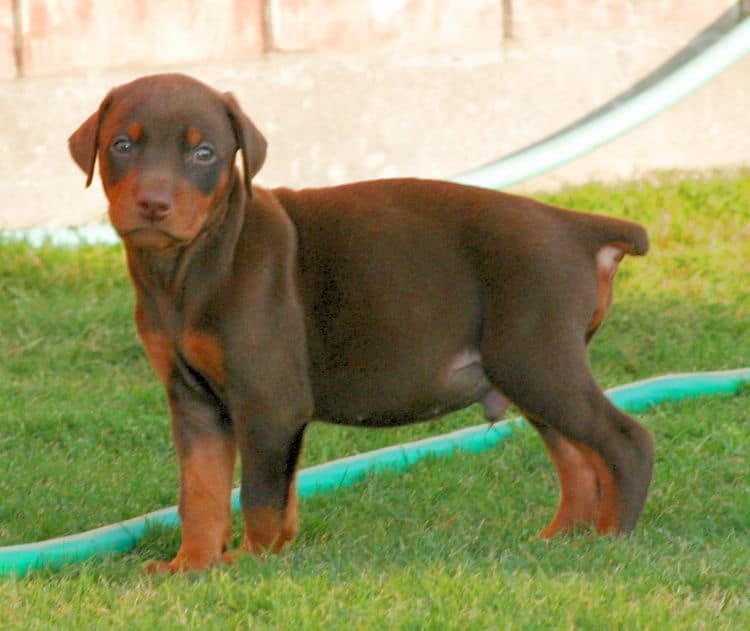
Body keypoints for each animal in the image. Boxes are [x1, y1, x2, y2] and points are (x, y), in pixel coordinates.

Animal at [72, 73, 656, 572]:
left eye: (204, 153)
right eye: (122, 146)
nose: (153, 204)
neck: (192, 265)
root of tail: (577, 227)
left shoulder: (268, 399)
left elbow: (260, 496)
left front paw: (251, 563)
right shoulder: (192, 401)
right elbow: (201, 492)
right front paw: (192, 566)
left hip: (536, 358)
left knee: (625, 441)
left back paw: (613, 539)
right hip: (526, 370)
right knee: (578, 461)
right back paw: (560, 541)